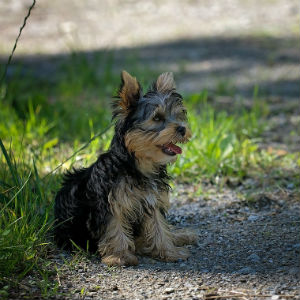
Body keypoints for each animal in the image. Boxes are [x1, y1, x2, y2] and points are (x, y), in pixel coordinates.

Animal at [54, 70, 198, 264]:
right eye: (157, 118)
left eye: (177, 116)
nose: (182, 128)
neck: (137, 165)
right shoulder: (110, 204)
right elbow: (114, 227)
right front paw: (119, 256)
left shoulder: (152, 200)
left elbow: (158, 226)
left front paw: (168, 251)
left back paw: (179, 236)